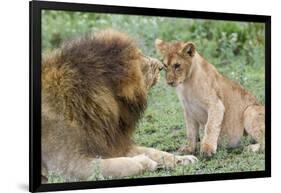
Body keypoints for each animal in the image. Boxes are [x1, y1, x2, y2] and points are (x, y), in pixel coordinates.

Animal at [41, 29, 196, 182]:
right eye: (140, 57)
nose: (161, 66)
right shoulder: (66, 165)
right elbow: (119, 164)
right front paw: (145, 162)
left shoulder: (112, 143)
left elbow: (154, 151)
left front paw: (183, 159)